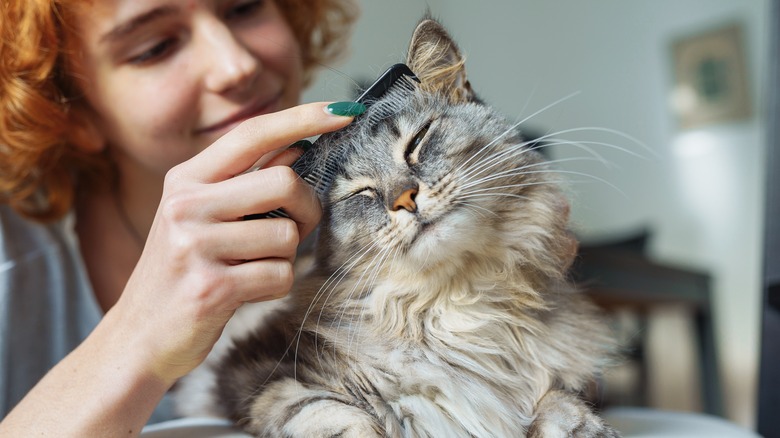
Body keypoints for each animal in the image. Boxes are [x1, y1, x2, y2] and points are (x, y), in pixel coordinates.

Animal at [180, 17, 620, 438]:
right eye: (360, 193)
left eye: (418, 141)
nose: (404, 199)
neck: (458, 305)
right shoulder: (255, 374)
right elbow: (329, 413)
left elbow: (559, 402)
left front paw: (585, 429)